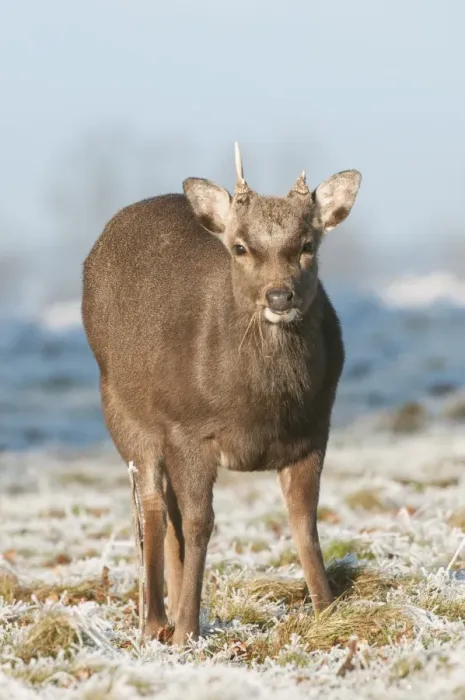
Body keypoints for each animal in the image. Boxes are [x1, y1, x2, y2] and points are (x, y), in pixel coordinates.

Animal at [82, 143, 362, 646]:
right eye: (240, 247)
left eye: (307, 246)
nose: (279, 296)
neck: (259, 408)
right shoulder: (189, 429)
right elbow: (200, 523)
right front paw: (187, 632)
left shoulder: (314, 430)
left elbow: (304, 522)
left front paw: (328, 613)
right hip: (121, 409)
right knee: (152, 507)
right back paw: (156, 620)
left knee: (167, 512)